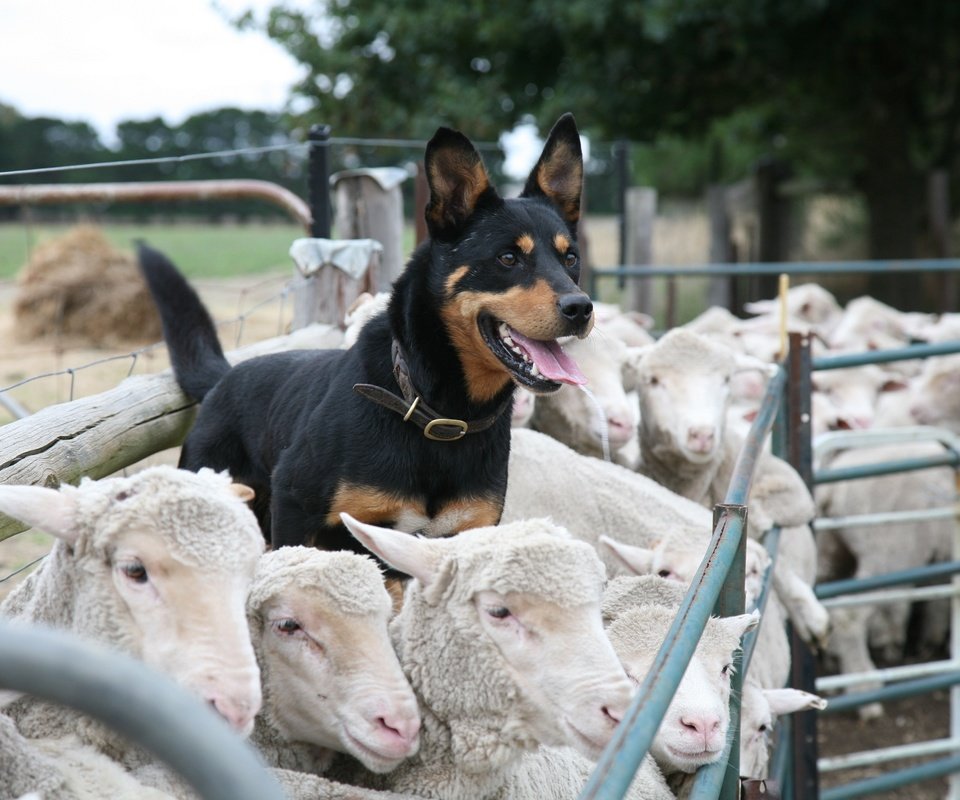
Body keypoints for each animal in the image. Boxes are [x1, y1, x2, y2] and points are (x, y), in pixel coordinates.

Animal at [140, 114, 592, 564]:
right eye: (508, 258)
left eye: (571, 259)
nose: (581, 308)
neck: (439, 413)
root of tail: (223, 380)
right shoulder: (295, 509)